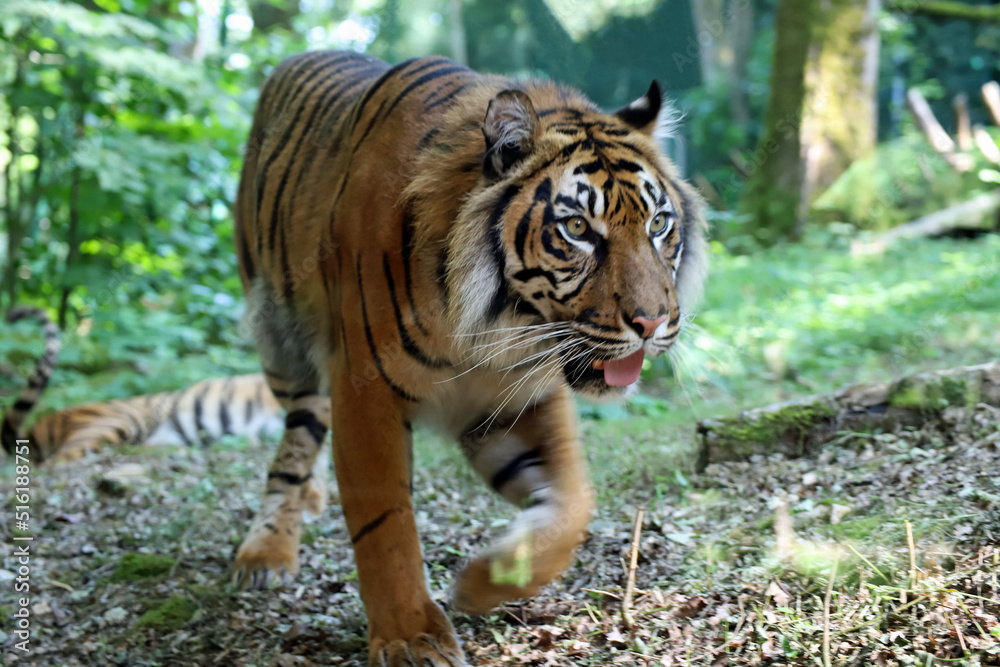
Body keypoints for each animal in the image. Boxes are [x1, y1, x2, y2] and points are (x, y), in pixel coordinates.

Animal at [232, 50, 707, 666]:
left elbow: (573, 506)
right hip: (282, 342)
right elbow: (385, 523)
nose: (652, 324)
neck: (491, 329)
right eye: (578, 228)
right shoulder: (365, 390)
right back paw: (266, 551)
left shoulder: (516, 398)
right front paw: (411, 639)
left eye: (658, 224)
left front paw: (485, 581)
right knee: (295, 442)